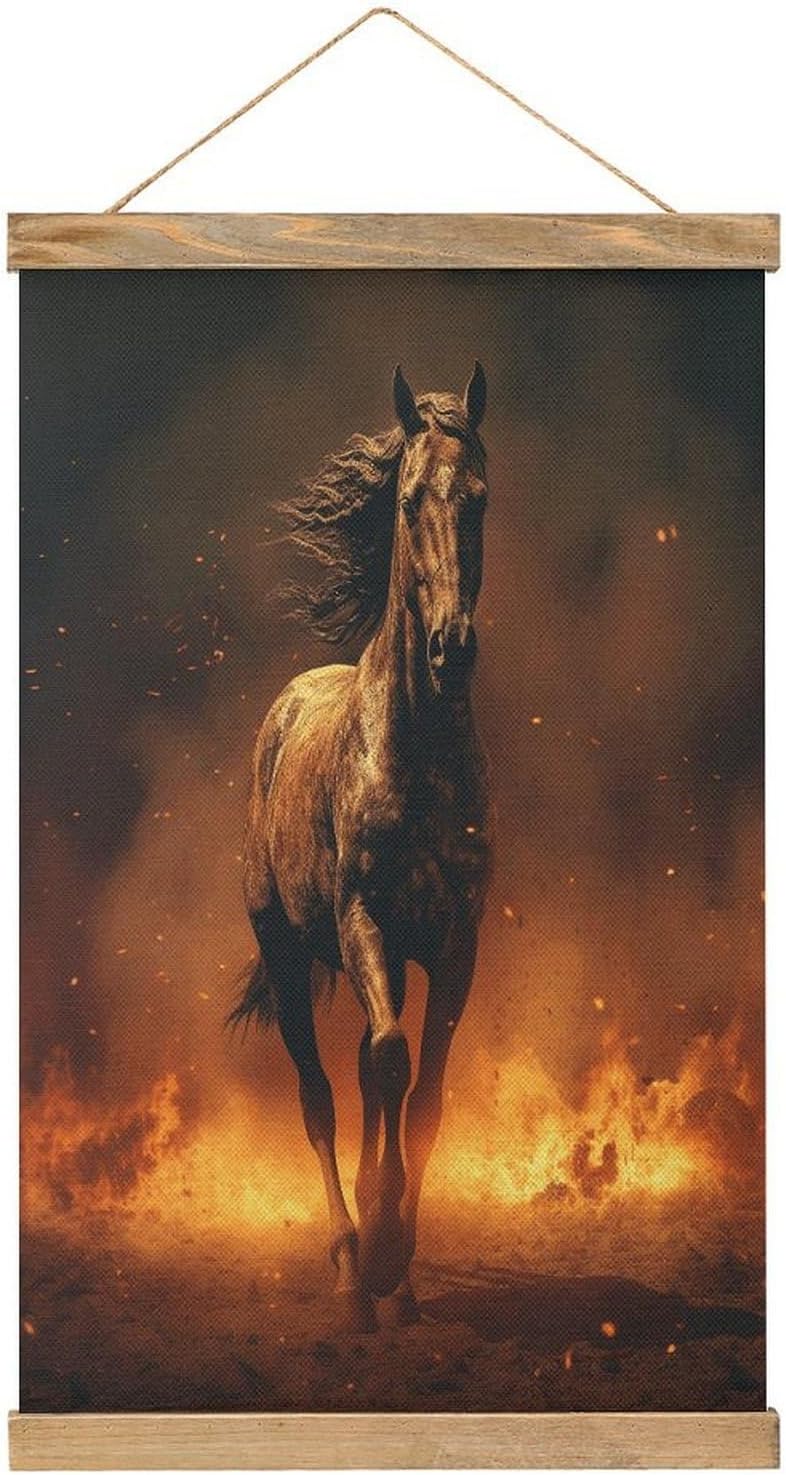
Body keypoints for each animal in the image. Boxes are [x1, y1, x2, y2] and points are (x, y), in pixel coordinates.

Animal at [232, 364, 492, 1331]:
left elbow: (424, 1093)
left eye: (479, 500)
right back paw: (350, 1264)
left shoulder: (454, 940)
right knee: (319, 1090)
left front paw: (402, 1258)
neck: (415, 751)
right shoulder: (365, 922)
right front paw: (378, 1251)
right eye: (411, 500)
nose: (452, 648)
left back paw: (392, 1281)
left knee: (368, 1071)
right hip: (288, 948)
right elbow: (385, 1062)